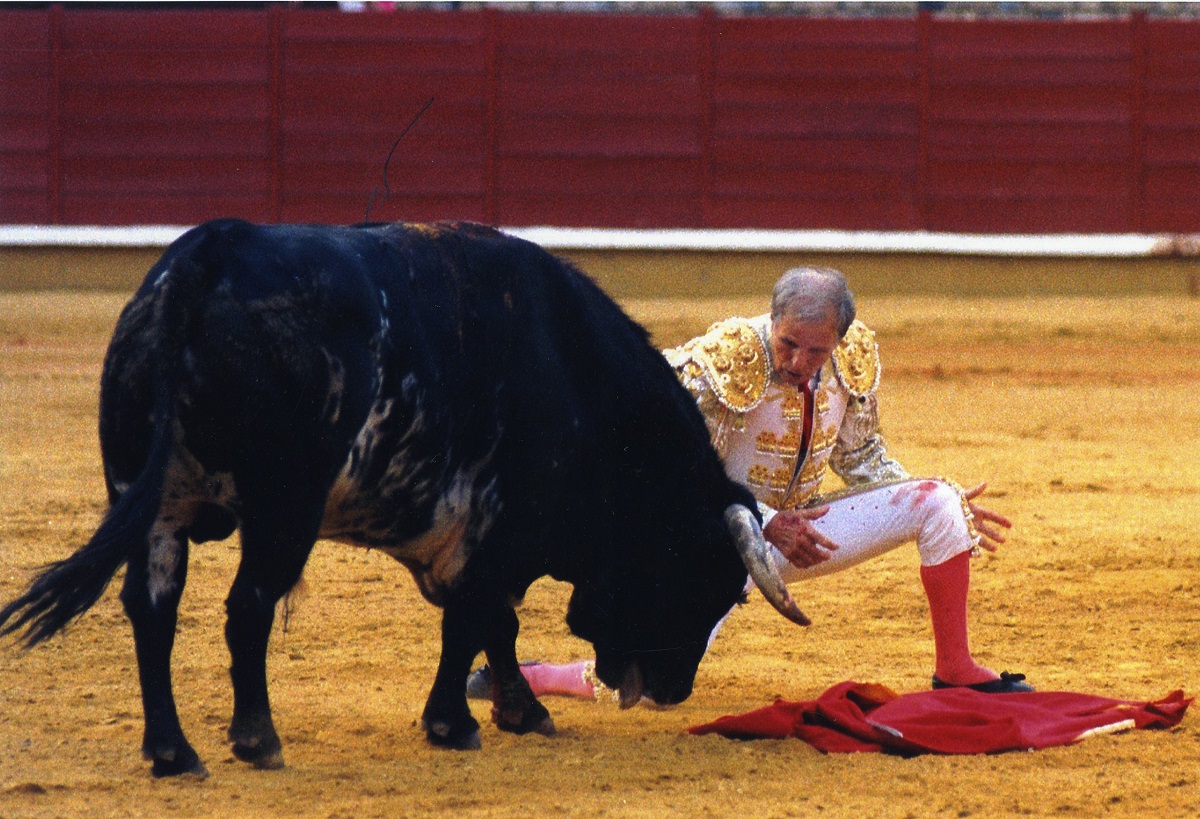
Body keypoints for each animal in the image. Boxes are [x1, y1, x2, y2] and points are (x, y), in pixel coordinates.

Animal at [2, 219, 806, 773]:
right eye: (707, 582)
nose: (674, 690)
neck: (577, 382)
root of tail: (208, 257)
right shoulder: (499, 534)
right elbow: (476, 621)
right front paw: (457, 724)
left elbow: (492, 625)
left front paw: (519, 712)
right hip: (283, 511)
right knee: (248, 607)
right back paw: (257, 740)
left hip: (152, 501)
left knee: (153, 607)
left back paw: (174, 752)